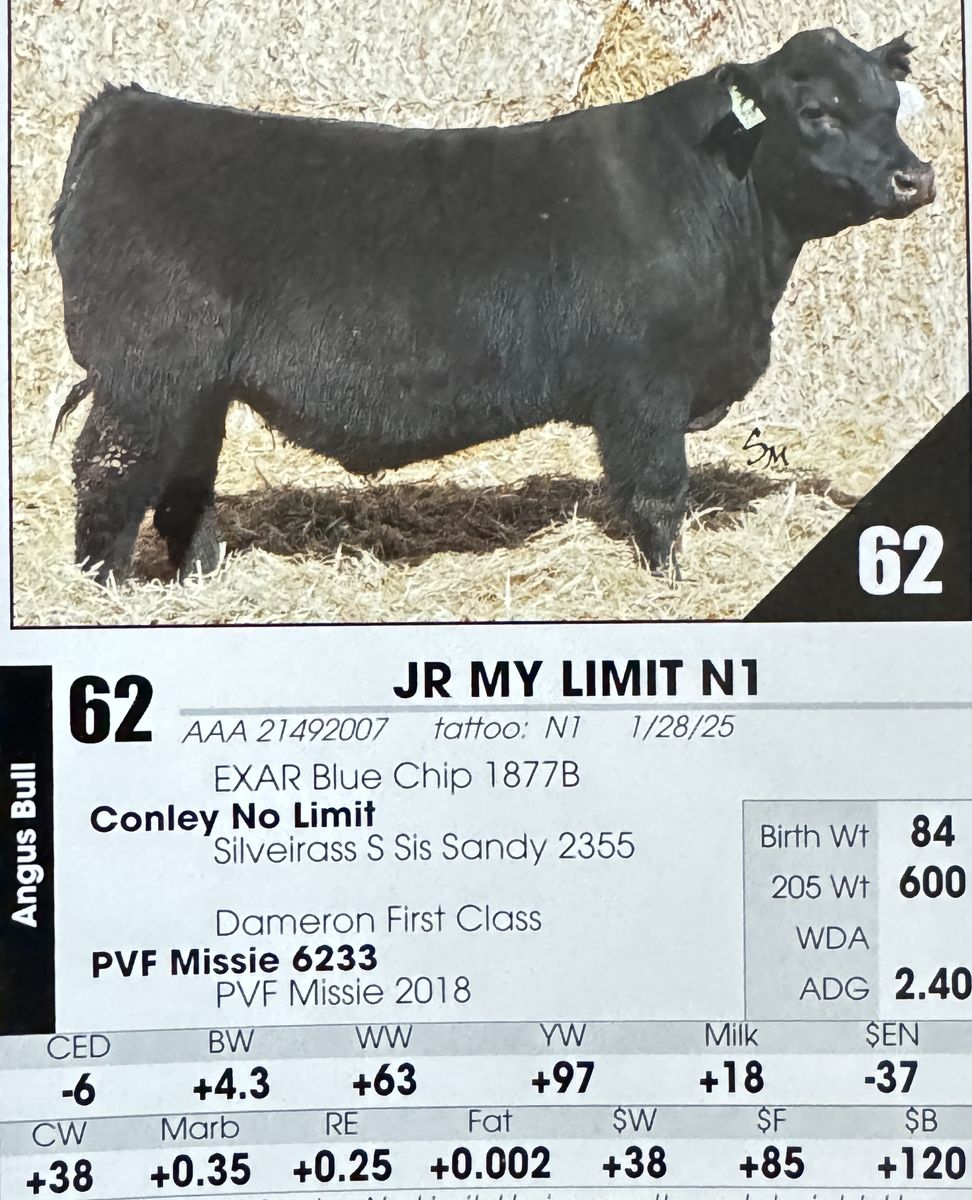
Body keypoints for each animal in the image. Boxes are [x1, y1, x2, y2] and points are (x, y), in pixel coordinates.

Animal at [51, 28, 935, 584]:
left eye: (890, 106)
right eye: (817, 112)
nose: (915, 178)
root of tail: (127, 107)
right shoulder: (645, 389)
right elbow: (659, 494)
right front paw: (670, 581)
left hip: (197, 387)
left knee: (184, 484)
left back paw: (203, 577)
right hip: (143, 379)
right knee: (110, 471)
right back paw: (106, 588)